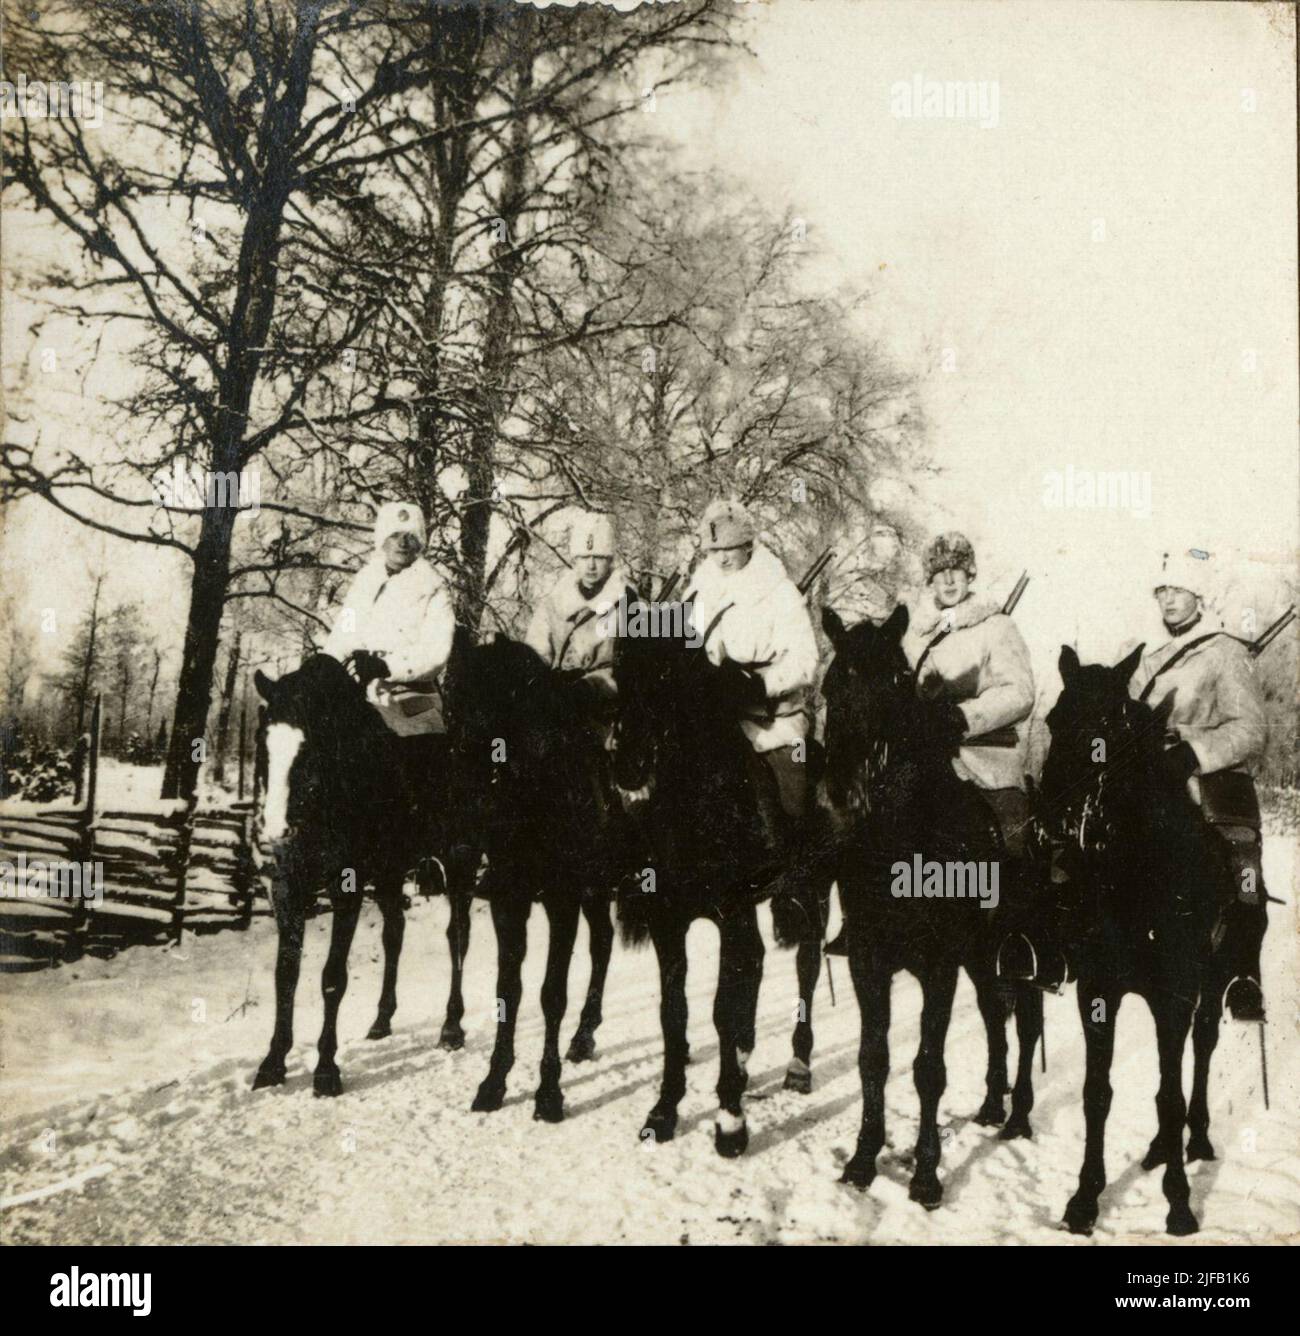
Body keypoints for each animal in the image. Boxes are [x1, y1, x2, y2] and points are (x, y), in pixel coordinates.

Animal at [251, 653, 478, 1095]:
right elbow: (286, 974)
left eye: (311, 747)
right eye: (262, 743)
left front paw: (326, 1070)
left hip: (460, 861)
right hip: (390, 873)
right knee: (395, 933)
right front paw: (273, 1063)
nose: (274, 833)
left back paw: (451, 1027)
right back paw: (381, 1020)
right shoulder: (287, 889)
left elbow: (332, 977)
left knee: (457, 935)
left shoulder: (346, 889)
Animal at [443, 630, 628, 1122]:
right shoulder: (509, 902)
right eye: (449, 708)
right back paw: (584, 1036)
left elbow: (551, 995)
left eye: (499, 709)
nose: (464, 825)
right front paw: (494, 1082)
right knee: (603, 941)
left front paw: (548, 1092)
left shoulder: (562, 901)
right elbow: (508, 988)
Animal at [610, 604, 834, 1157]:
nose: (628, 765)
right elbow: (675, 1012)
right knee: (756, 966)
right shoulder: (670, 922)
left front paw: (729, 1119)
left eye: (668, 676)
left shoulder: (730, 912)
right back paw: (748, 1058)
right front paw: (664, 1110)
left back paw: (797, 1065)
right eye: (620, 669)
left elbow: (720, 1008)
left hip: (813, 894)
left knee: (805, 965)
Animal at [810, 604, 1042, 1207]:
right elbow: (873, 1058)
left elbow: (928, 1067)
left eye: (897, 681)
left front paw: (926, 1174)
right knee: (994, 1017)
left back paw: (1018, 1116)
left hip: (1020, 956)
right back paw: (991, 1105)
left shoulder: (939, 966)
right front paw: (863, 1160)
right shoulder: (869, 961)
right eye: (832, 683)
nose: (850, 789)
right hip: (982, 959)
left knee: (1026, 1026)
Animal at [1039, 643, 1235, 1236]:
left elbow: (1170, 1093)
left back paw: (1195, 1139)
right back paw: (1156, 1148)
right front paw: (1084, 1198)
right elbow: (1096, 1093)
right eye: (1054, 720)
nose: (1051, 814)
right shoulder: (1098, 991)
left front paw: (1179, 1204)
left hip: (1213, 979)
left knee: (1201, 1050)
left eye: (1107, 727)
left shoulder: (1173, 997)